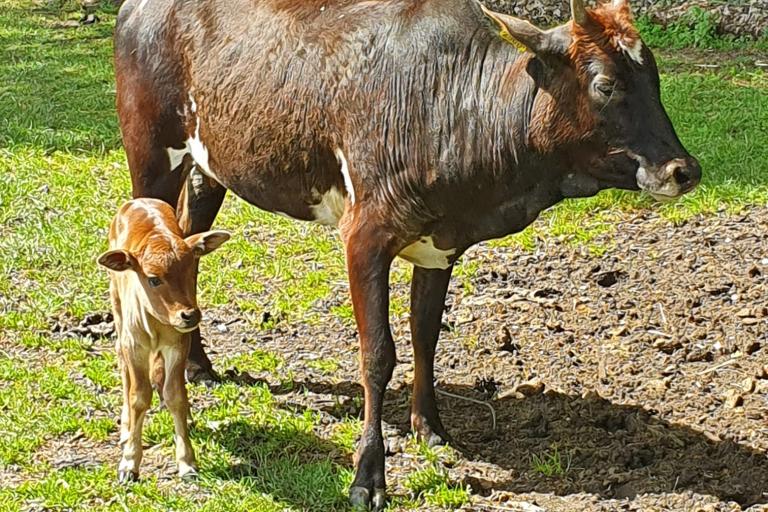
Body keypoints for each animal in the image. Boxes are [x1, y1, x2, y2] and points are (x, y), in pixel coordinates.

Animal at [97, 198, 228, 482]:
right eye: (154, 278)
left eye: (192, 271)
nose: (189, 315)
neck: (156, 325)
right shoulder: (134, 344)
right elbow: (139, 396)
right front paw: (129, 464)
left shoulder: (178, 345)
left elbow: (175, 394)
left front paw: (187, 462)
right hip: (117, 304)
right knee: (122, 363)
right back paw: (125, 429)